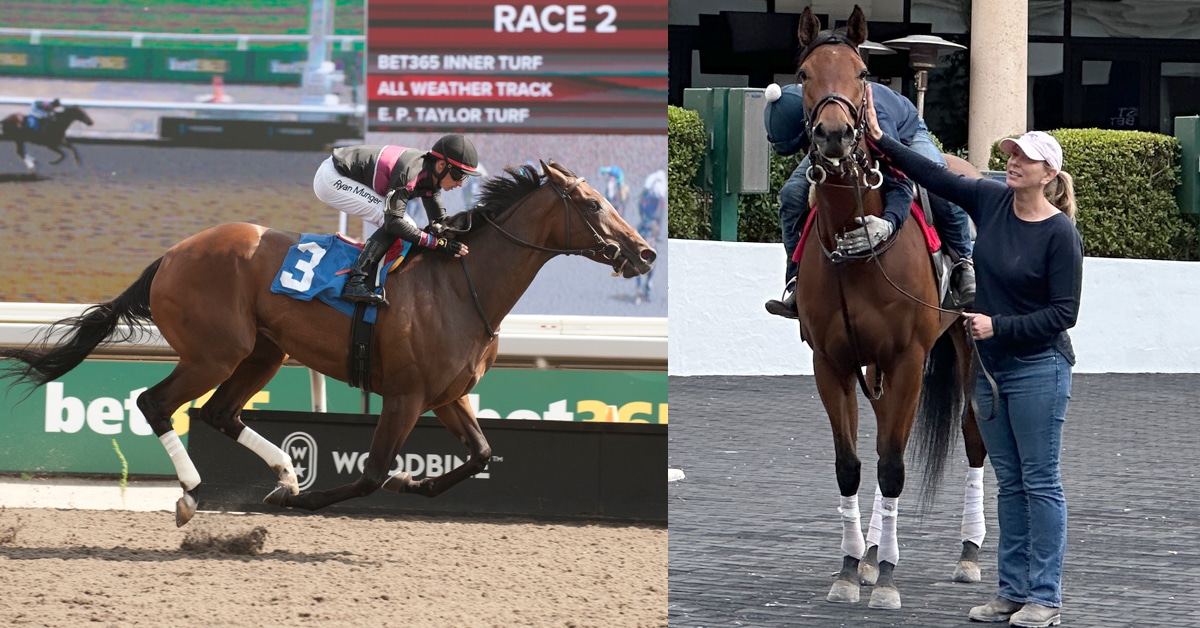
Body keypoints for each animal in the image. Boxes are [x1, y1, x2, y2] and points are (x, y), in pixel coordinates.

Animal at [0, 160, 656, 527]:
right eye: (592, 204)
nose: (645, 252)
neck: (463, 282)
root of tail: (174, 253)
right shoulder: (406, 395)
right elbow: (371, 473)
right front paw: (325, 497)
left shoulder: (447, 396)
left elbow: (481, 455)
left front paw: (413, 484)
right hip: (216, 352)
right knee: (157, 404)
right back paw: (196, 493)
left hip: (263, 352)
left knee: (218, 413)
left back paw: (287, 475)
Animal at [789, 6, 986, 609]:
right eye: (804, 75)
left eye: (860, 73)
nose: (834, 134)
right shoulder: (831, 363)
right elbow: (852, 466)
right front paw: (852, 568)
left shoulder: (907, 361)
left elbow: (894, 466)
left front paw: (889, 581)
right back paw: (875, 552)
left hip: (968, 344)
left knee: (974, 436)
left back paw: (969, 554)